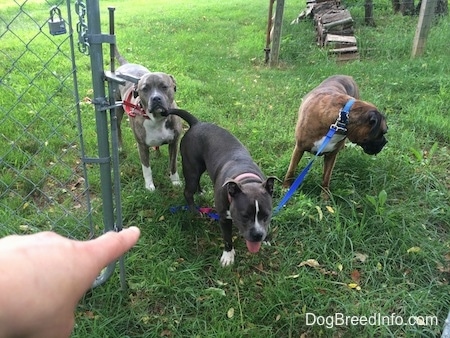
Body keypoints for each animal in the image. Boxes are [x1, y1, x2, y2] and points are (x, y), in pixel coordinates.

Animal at [113, 46, 182, 191]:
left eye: (164, 86)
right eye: (145, 89)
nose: (156, 98)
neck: (157, 119)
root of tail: (126, 64)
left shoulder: (174, 142)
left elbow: (173, 164)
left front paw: (175, 182)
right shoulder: (142, 146)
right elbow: (147, 169)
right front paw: (149, 186)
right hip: (116, 108)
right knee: (117, 128)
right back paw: (120, 148)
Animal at [160, 108, 276, 266]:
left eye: (267, 215)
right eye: (244, 216)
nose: (258, 235)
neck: (246, 179)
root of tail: (196, 123)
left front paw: (267, 238)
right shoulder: (224, 218)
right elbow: (227, 239)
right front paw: (228, 256)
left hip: (200, 167)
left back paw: (201, 192)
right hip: (191, 168)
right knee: (188, 191)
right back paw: (194, 211)